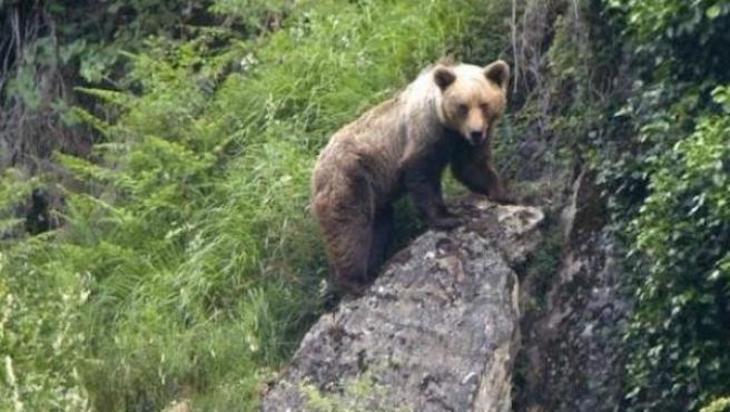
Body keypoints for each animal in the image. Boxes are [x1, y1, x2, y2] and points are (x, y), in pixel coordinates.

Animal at [311, 59, 511, 294]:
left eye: (484, 104)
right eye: (462, 106)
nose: (476, 132)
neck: (446, 125)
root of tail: (316, 165)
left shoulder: (461, 142)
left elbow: (471, 166)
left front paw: (503, 193)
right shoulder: (424, 133)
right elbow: (422, 175)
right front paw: (448, 218)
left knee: (379, 224)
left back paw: (372, 267)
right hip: (350, 177)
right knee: (350, 227)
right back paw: (356, 281)